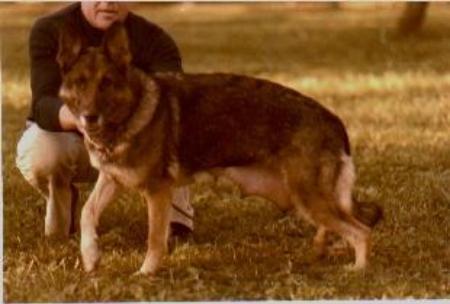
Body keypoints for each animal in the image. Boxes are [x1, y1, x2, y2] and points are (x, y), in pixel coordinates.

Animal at [55, 21, 380, 274]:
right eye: (80, 82)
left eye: (106, 83)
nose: (88, 117)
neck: (131, 110)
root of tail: (333, 118)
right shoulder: (112, 179)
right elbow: (87, 212)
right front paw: (90, 256)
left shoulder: (158, 192)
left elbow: (154, 239)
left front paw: (146, 273)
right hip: (303, 198)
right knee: (341, 227)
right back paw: (322, 251)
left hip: (308, 197)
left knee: (362, 231)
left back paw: (358, 269)